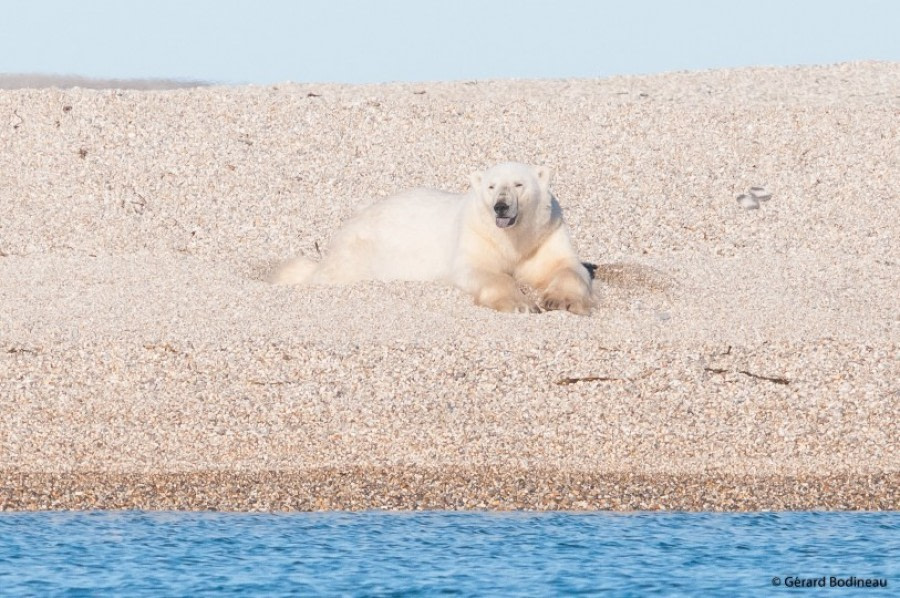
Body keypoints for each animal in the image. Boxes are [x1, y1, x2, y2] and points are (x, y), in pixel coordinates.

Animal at [274, 162, 596, 316]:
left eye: (519, 184)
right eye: (492, 186)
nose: (501, 206)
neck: (513, 238)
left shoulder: (545, 235)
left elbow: (565, 267)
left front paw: (561, 300)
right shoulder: (476, 235)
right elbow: (480, 271)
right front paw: (521, 304)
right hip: (361, 250)